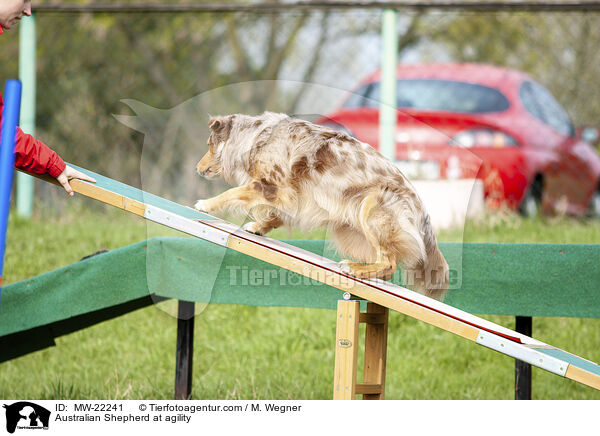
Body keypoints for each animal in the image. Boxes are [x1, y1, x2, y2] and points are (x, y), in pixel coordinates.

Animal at [195, 111, 448, 300]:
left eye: (209, 145)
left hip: (372, 209)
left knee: (389, 263)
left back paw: (355, 268)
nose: (197, 169)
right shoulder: (294, 196)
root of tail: (423, 210)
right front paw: (258, 227)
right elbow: (278, 215)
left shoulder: (272, 186)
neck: (255, 137)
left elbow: (231, 193)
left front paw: (205, 204)